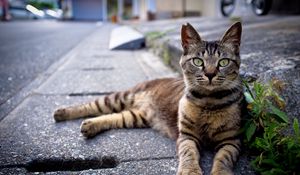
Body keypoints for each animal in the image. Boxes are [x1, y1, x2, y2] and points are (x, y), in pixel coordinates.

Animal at [54, 22, 244, 175]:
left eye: (223, 62)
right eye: (198, 61)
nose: (210, 74)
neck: (208, 101)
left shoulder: (231, 141)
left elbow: (223, 159)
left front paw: (220, 172)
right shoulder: (186, 136)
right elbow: (189, 154)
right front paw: (190, 171)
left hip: (135, 117)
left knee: (113, 116)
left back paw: (90, 125)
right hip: (120, 98)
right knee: (92, 105)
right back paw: (62, 113)